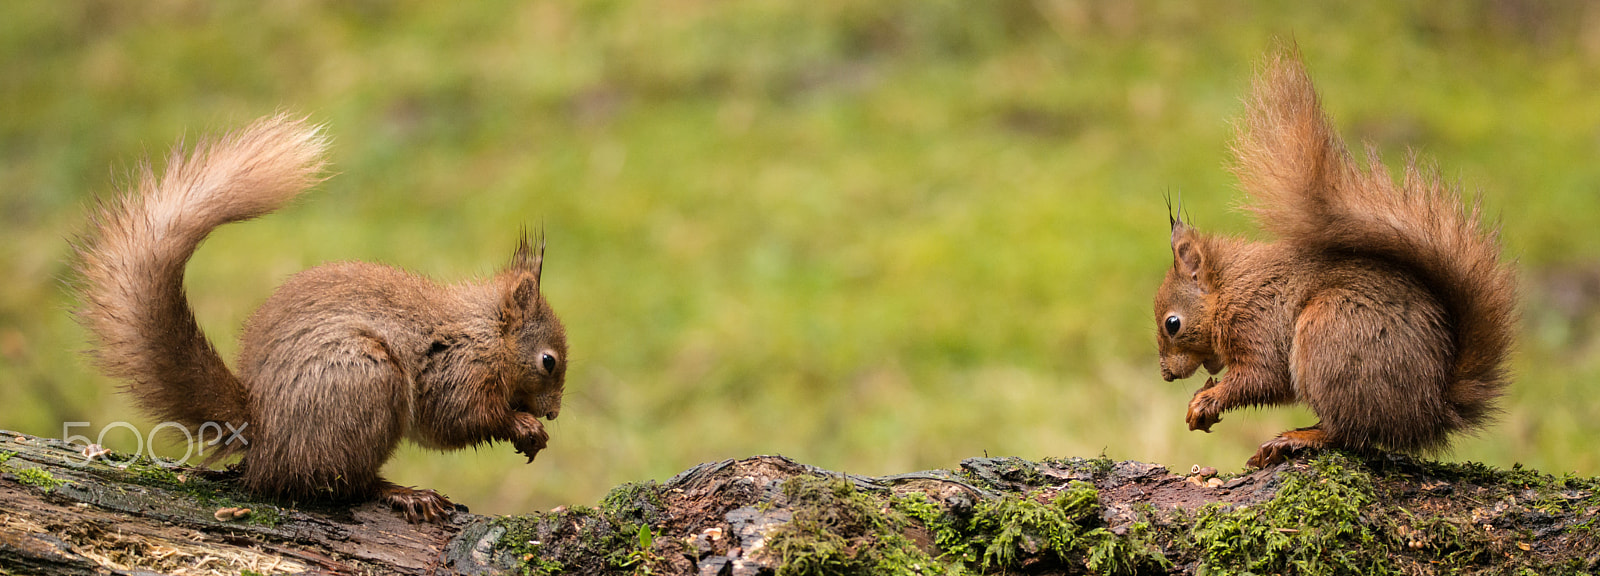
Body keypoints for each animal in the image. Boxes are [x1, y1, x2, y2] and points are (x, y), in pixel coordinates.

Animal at [72, 113, 569, 521]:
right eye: (549, 361)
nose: (554, 414)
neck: (486, 332)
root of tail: (261, 428)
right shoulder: (457, 369)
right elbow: (461, 418)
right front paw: (524, 427)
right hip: (365, 384)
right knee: (342, 482)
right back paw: (404, 493)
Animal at [1158, 45, 1516, 467]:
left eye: (1173, 324)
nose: (1165, 375)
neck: (1230, 288)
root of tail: (1431, 409)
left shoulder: (1257, 322)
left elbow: (1262, 378)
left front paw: (1207, 401)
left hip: (1332, 342)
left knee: (1350, 432)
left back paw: (1296, 438)